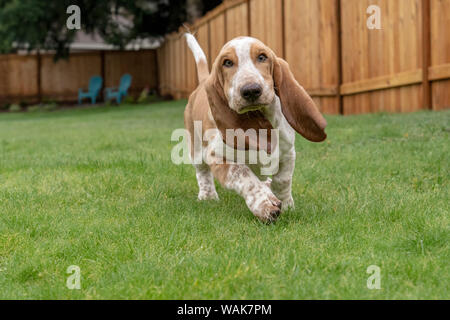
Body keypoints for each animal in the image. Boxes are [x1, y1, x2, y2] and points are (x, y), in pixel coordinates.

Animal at [183, 33, 326, 222]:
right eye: (227, 62)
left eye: (262, 57)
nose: (251, 90)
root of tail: (202, 83)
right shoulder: (217, 156)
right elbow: (244, 175)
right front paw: (264, 204)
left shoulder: (288, 153)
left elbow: (283, 180)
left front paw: (287, 204)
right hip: (197, 149)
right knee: (202, 173)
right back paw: (208, 196)